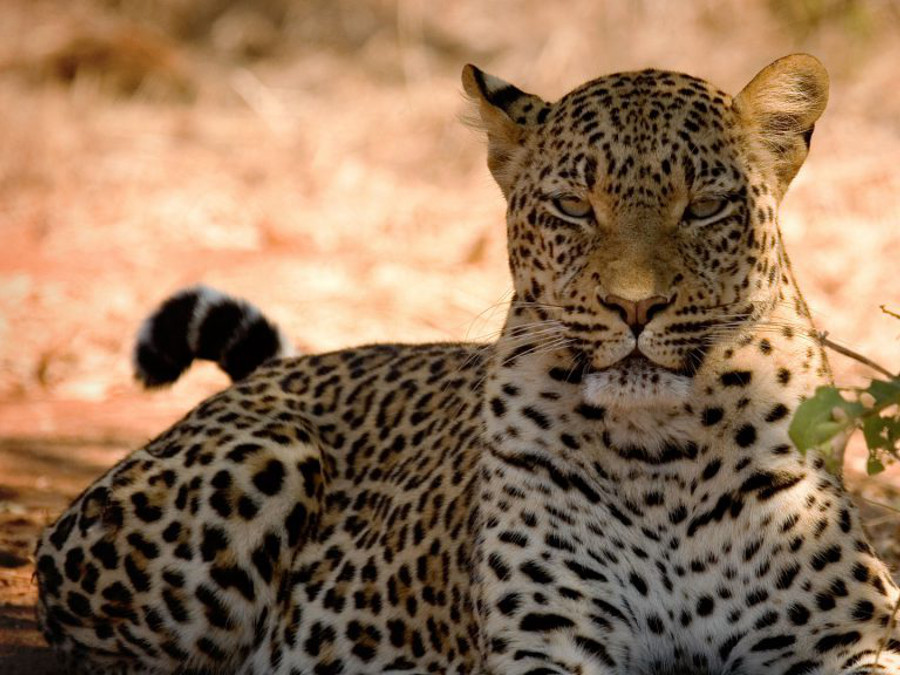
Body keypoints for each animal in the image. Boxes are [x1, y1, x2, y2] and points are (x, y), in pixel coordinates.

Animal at [33, 54, 900, 675]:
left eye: (706, 207)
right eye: (574, 207)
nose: (635, 307)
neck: (661, 452)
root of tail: (273, 374)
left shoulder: (848, 634)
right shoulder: (549, 641)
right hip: (257, 466)